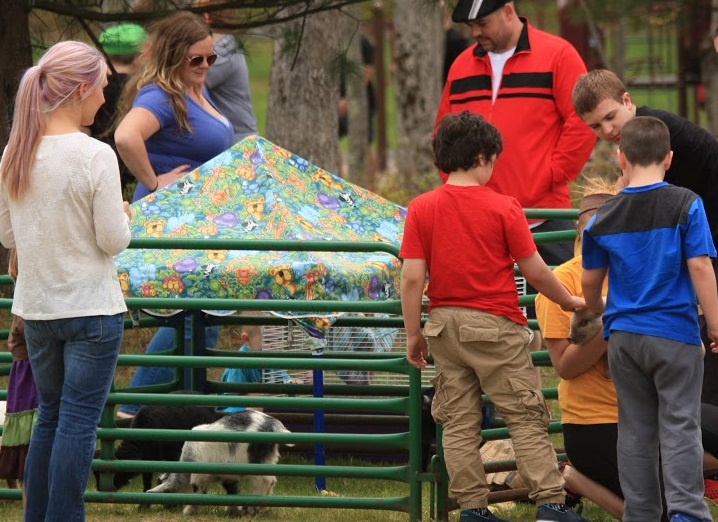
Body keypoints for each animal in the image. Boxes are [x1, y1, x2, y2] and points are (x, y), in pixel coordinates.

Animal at [149, 410, 292, 516]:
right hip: (268, 458)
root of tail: (275, 426)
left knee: (265, 481)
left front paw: (188, 512)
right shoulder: (228, 477)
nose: (168, 509)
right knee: (271, 480)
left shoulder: (198, 476)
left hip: (254, 461)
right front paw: (232, 511)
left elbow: (197, 491)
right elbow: (231, 491)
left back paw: (251, 509)